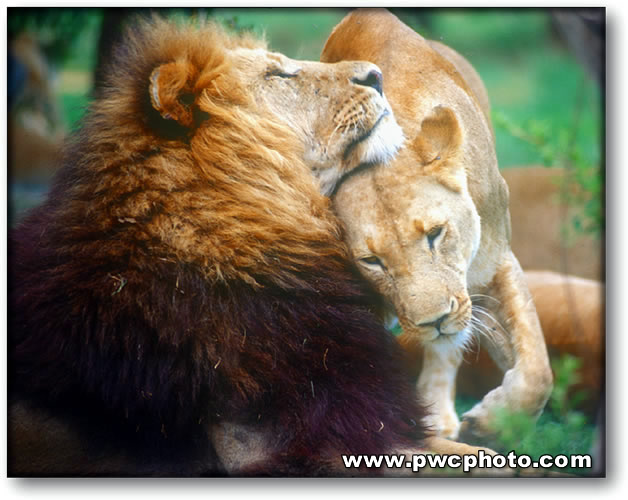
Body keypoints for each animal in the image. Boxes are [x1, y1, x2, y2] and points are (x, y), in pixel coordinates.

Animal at [322, 9, 552, 444]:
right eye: (372, 261)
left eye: (435, 234)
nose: (435, 321)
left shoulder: (494, 258)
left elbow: (536, 368)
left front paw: (491, 424)